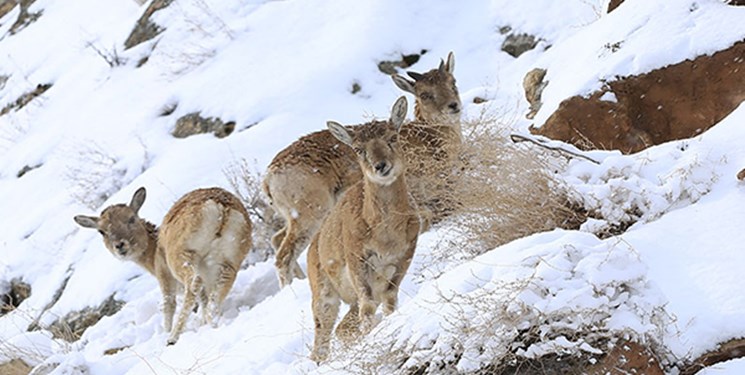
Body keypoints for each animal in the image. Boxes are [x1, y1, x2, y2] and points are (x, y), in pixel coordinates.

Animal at [74, 187, 251, 346]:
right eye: (101, 231)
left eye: (131, 218)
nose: (120, 245)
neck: (152, 257)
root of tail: (220, 208)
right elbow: (204, 299)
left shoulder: (163, 274)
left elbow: (168, 303)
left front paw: (167, 331)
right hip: (231, 260)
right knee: (217, 292)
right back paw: (212, 323)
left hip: (181, 257)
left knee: (193, 283)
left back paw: (172, 338)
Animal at [262, 52, 460, 288]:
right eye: (424, 94)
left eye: (452, 82)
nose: (453, 106)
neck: (430, 136)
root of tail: (269, 177)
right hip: (309, 215)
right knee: (283, 256)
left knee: (277, 239)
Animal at [304, 96, 418, 362]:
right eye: (358, 148)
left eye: (392, 136)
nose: (381, 166)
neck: (385, 235)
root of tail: (313, 246)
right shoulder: (358, 260)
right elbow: (368, 307)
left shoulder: (403, 258)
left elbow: (389, 299)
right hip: (323, 295)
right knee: (322, 337)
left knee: (342, 328)